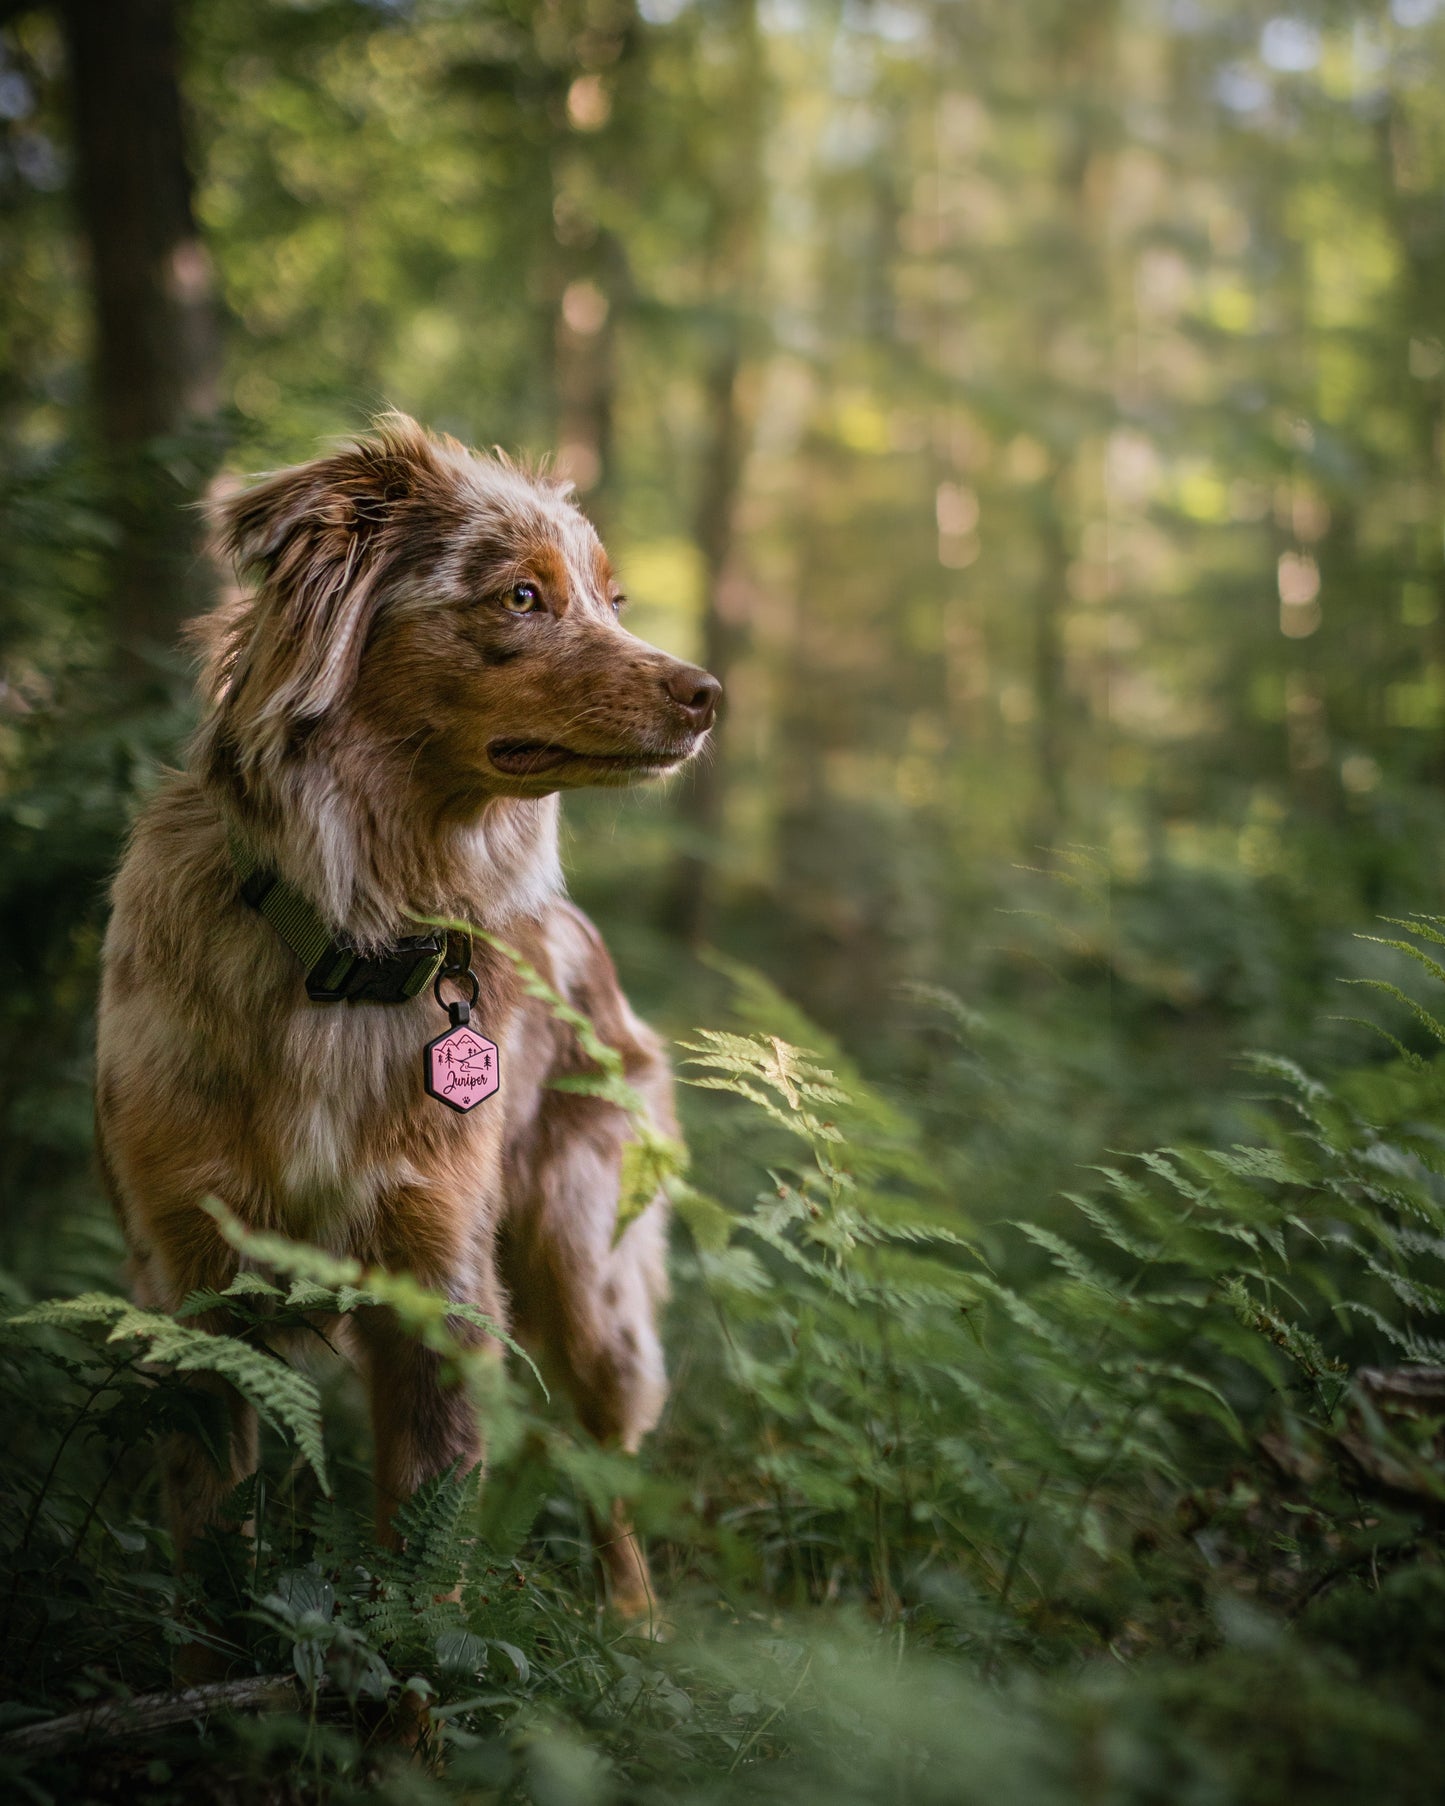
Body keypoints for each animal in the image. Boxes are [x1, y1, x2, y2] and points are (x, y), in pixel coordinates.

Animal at [93, 413, 718, 1625]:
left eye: (611, 598)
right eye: (521, 596)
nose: (708, 693)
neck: (351, 938)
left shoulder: (440, 1290)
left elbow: (423, 1588)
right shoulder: (192, 1289)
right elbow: (211, 1569)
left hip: (588, 1276)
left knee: (605, 1465)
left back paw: (636, 1627)